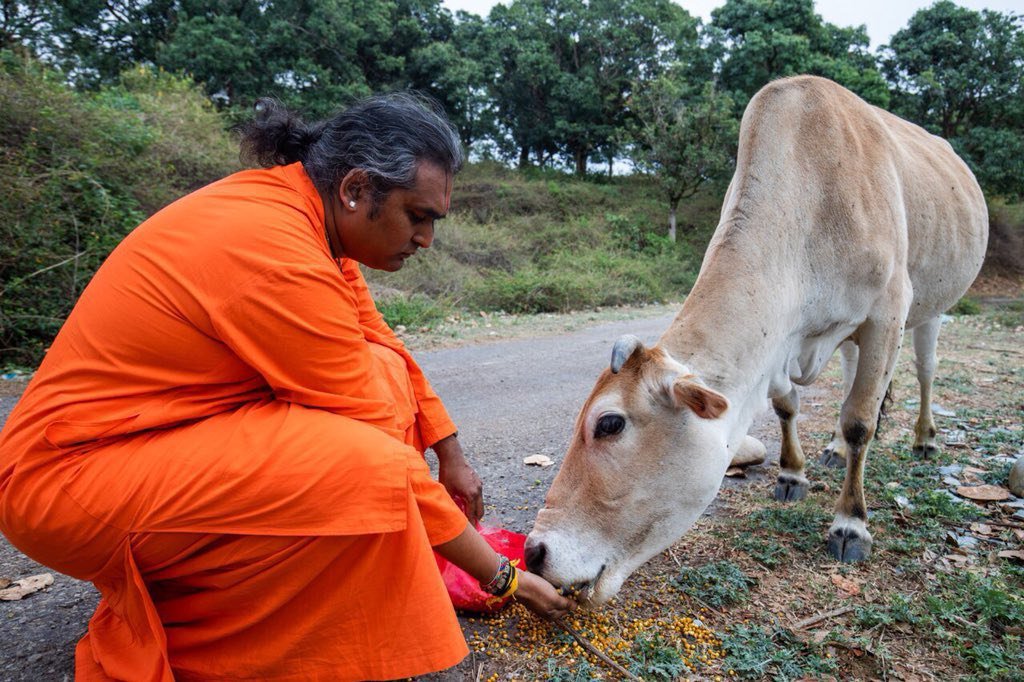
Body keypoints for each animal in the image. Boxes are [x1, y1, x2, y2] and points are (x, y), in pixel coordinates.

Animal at [525, 75, 989, 605]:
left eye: (609, 424)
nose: (534, 552)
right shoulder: (780, 347)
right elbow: (788, 406)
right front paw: (792, 474)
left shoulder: (887, 312)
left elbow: (860, 422)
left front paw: (850, 524)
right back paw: (832, 450)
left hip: (931, 308)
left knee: (924, 373)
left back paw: (925, 439)